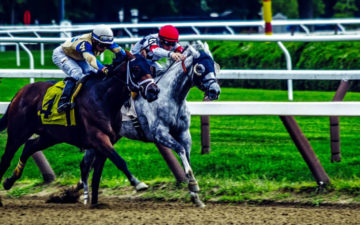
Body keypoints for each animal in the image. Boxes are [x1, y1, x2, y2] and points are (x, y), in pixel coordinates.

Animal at [0, 52, 159, 206]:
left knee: (29, 147)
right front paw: (138, 183)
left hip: (51, 136)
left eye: (151, 68)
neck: (104, 98)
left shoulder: (107, 141)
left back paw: (9, 181)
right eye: (136, 68)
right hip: (18, 132)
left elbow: (97, 173)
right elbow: (119, 161)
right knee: (6, 159)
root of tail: (20, 92)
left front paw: (94, 202)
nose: (154, 90)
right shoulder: (98, 137)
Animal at [79, 42, 219, 207]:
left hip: (109, 138)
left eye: (215, 65)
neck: (170, 97)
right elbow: (180, 150)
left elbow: (187, 155)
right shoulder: (159, 133)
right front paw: (193, 185)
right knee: (85, 165)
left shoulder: (184, 132)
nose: (215, 91)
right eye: (200, 68)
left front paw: (195, 195)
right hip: (97, 135)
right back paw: (85, 197)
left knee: (90, 164)